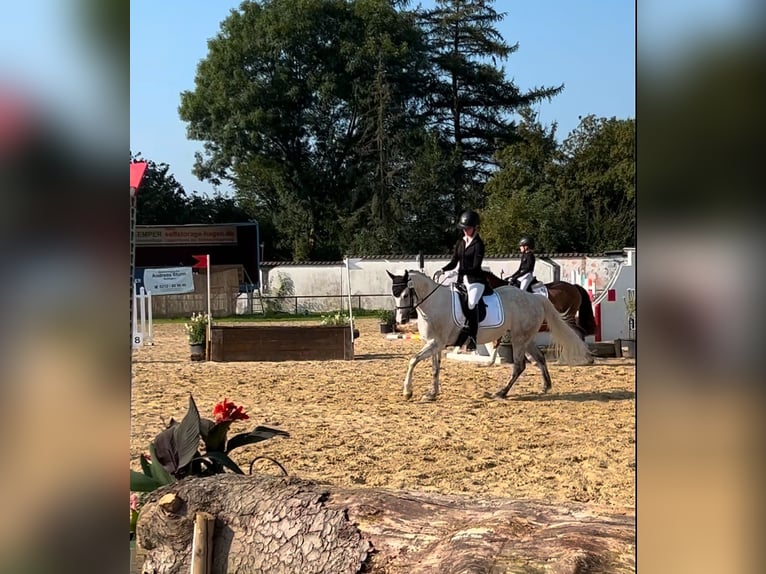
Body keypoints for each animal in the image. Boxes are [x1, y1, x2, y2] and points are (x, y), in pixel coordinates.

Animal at [388, 268, 592, 400]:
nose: (401, 320)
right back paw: (545, 386)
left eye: (405, 294)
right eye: (394, 295)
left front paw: (407, 392)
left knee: (519, 366)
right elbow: (435, 369)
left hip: (519, 339)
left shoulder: (435, 343)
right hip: (526, 338)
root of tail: (534, 298)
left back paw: (501, 393)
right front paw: (432, 394)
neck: (433, 304)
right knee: (539, 358)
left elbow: (413, 360)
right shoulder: (434, 343)